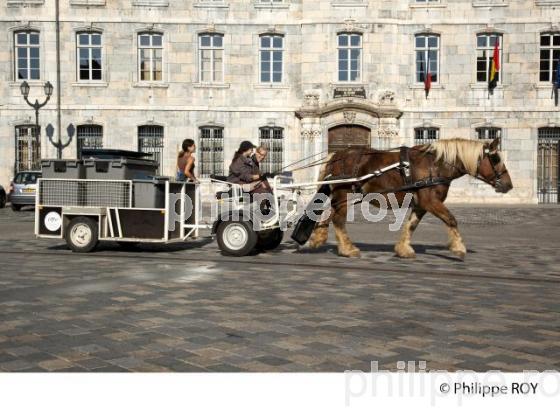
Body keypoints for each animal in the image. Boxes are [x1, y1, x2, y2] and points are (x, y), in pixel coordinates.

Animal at [308, 138, 516, 260]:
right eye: (496, 159)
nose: (509, 184)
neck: (436, 165)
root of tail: (337, 154)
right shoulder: (430, 202)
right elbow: (451, 220)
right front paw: (459, 248)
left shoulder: (421, 204)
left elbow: (411, 225)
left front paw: (403, 249)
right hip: (344, 194)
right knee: (338, 219)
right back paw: (347, 249)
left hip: (343, 197)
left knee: (328, 216)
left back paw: (319, 238)